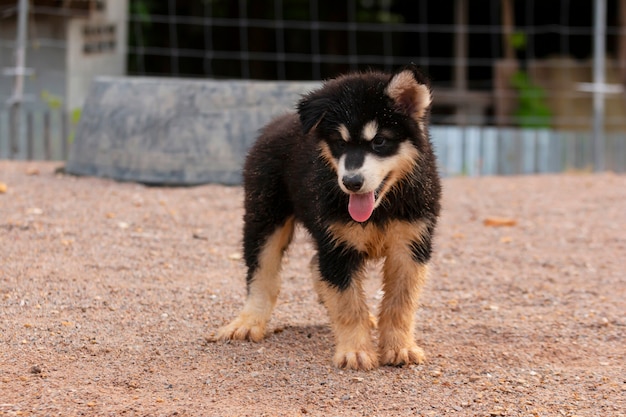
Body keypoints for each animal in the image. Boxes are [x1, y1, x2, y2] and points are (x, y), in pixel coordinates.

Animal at [217, 65, 442, 370]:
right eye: (338, 143)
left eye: (379, 141)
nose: (351, 182)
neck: (380, 209)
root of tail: (279, 122)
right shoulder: (337, 249)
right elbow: (348, 304)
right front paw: (356, 351)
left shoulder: (410, 246)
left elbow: (400, 303)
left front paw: (400, 348)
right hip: (264, 216)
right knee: (262, 273)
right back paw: (248, 322)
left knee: (314, 265)